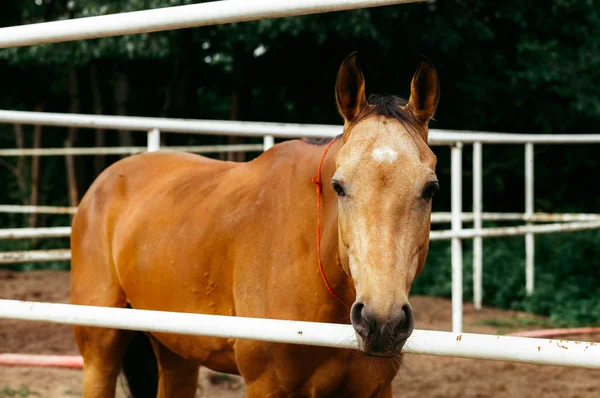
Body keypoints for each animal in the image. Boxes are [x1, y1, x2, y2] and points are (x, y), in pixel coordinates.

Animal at [70, 52, 440, 398]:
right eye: (338, 186)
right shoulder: (266, 384)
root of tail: (102, 184)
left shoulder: (375, 387)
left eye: (430, 188)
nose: (382, 322)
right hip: (100, 353)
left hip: (176, 350)